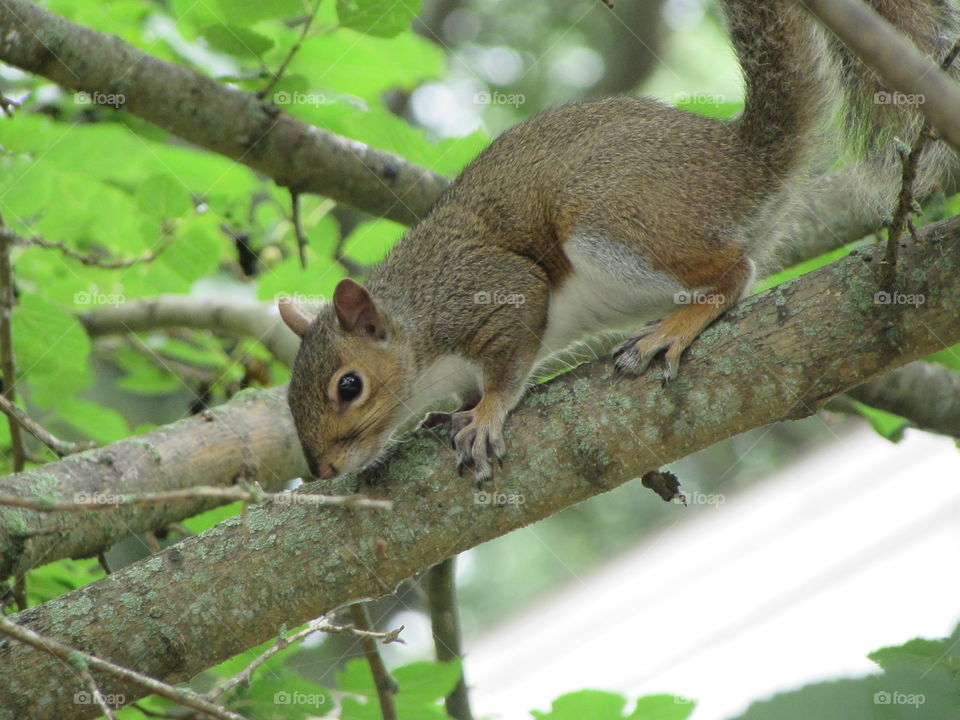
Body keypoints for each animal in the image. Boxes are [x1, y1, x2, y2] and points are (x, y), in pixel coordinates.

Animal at [279, 1, 956, 484]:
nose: (323, 472)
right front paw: (454, 409)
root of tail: (741, 162)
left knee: (734, 271)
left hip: (614, 220)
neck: (417, 323)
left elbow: (508, 363)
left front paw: (486, 414)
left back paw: (672, 330)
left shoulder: (490, 291)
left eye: (348, 387)